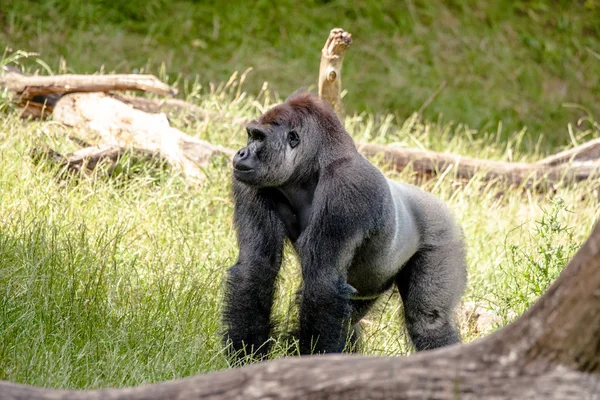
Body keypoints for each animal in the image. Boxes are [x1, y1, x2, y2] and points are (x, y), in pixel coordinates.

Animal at [223, 91, 466, 360]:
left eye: (259, 138)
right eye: (251, 134)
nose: (241, 153)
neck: (310, 168)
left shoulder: (347, 189)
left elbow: (322, 284)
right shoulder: (251, 183)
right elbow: (257, 266)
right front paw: (246, 355)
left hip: (444, 233)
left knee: (428, 321)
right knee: (351, 318)